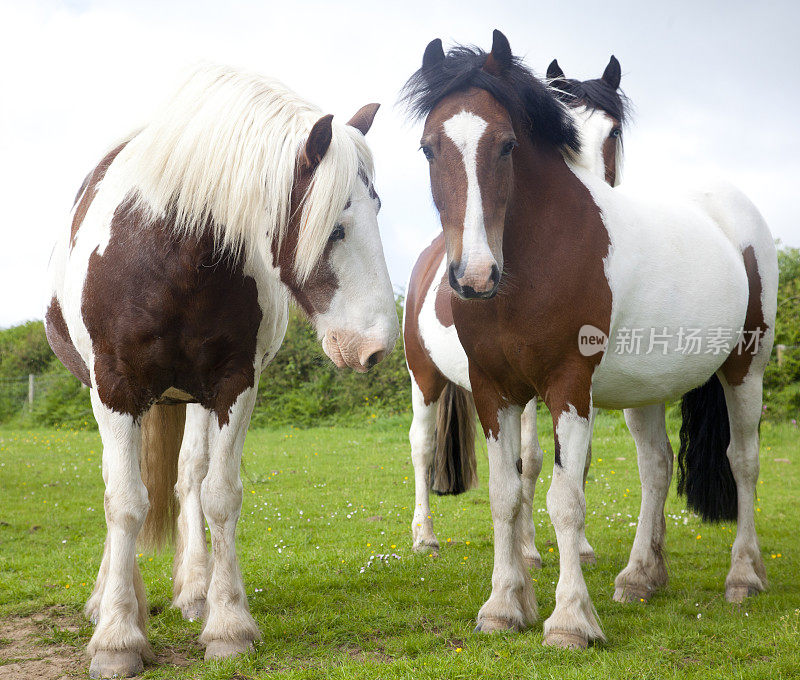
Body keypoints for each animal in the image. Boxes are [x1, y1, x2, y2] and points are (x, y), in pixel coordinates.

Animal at [45, 65, 400, 680]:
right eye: (335, 227)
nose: (377, 347)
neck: (168, 253)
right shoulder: (115, 388)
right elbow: (125, 501)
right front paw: (117, 636)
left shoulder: (233, 386)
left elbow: (220, 495)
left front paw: (227, 624)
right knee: (123, 486)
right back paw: (114, 599)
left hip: (190, 398)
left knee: (189, 476)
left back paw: (193, 591)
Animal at [404, 53, 628, 568]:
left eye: (612, 132)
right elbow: (528, 461)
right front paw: (526, 548)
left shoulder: (576, 383)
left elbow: (571, 462)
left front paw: (577, 546)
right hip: (423, 377)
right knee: (422, 447)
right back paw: (424, 535)